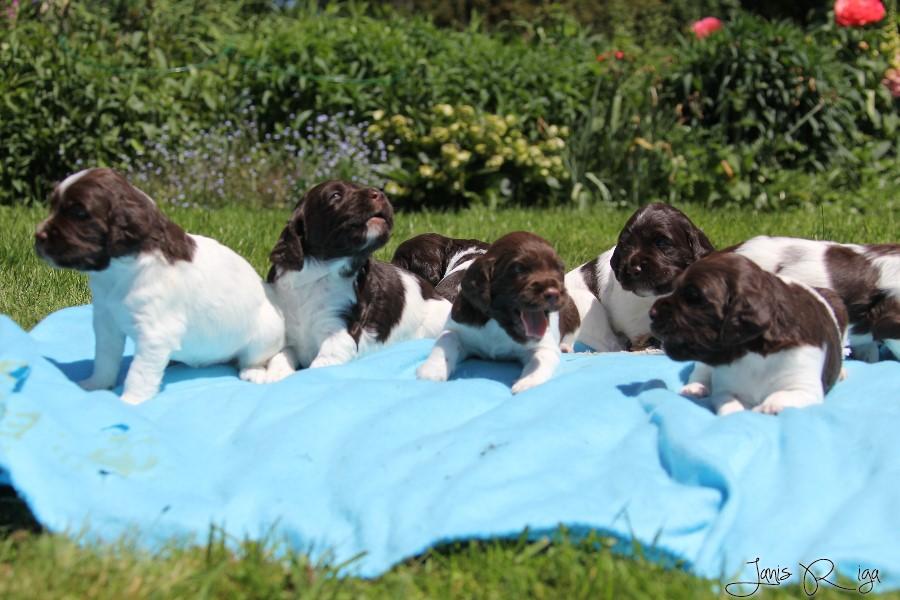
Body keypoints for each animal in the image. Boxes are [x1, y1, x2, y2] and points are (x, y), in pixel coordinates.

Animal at [34, 168, 285, 404]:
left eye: (78, 213)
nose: (38, 236)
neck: (119, 271)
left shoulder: (155, 333)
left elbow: (138, 373)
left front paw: (130, 401)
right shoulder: (106, 321)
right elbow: (105, 358)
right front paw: (96, 385)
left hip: (266, 333)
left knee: (253, 357)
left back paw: (253, 371)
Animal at [264, 180, 451, 379]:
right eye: (335, 195)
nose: (380, 193)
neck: (319, 273)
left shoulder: (340, 335)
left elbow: (318, 367)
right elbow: (279, 358)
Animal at [416, 232, 580, 393]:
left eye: (559, 270)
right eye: (519, 269)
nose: (553, 293)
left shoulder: (543, 346)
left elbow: (539, 362)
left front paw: (527, 383)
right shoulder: (458, 327)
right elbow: (446, 340)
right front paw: (431, 371)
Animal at [649, 253, 848, 415]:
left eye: (693, 296)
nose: (651, 313)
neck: (752, 353)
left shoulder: (804, 388)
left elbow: (781, 396)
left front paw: (767, 407)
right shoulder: (726, 389)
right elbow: (730, 405)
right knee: (701, 370)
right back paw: (695, 388)